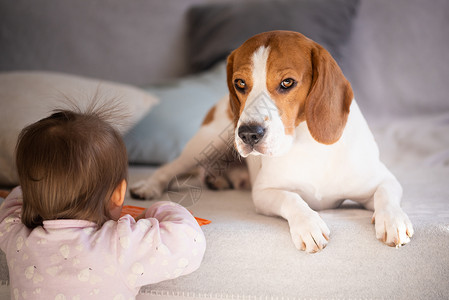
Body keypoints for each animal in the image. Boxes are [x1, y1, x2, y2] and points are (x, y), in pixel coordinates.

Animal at [130, 30, 412, 252]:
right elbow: (292, 198)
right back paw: (148, 187)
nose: (248, 133)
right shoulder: (264, 193)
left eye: (287, 82)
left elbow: (386, 193)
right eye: (240, 83)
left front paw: (393, 220)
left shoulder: (382, 179)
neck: (308, 143)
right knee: (171, 168)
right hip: (204, 143)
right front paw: (308, 224)